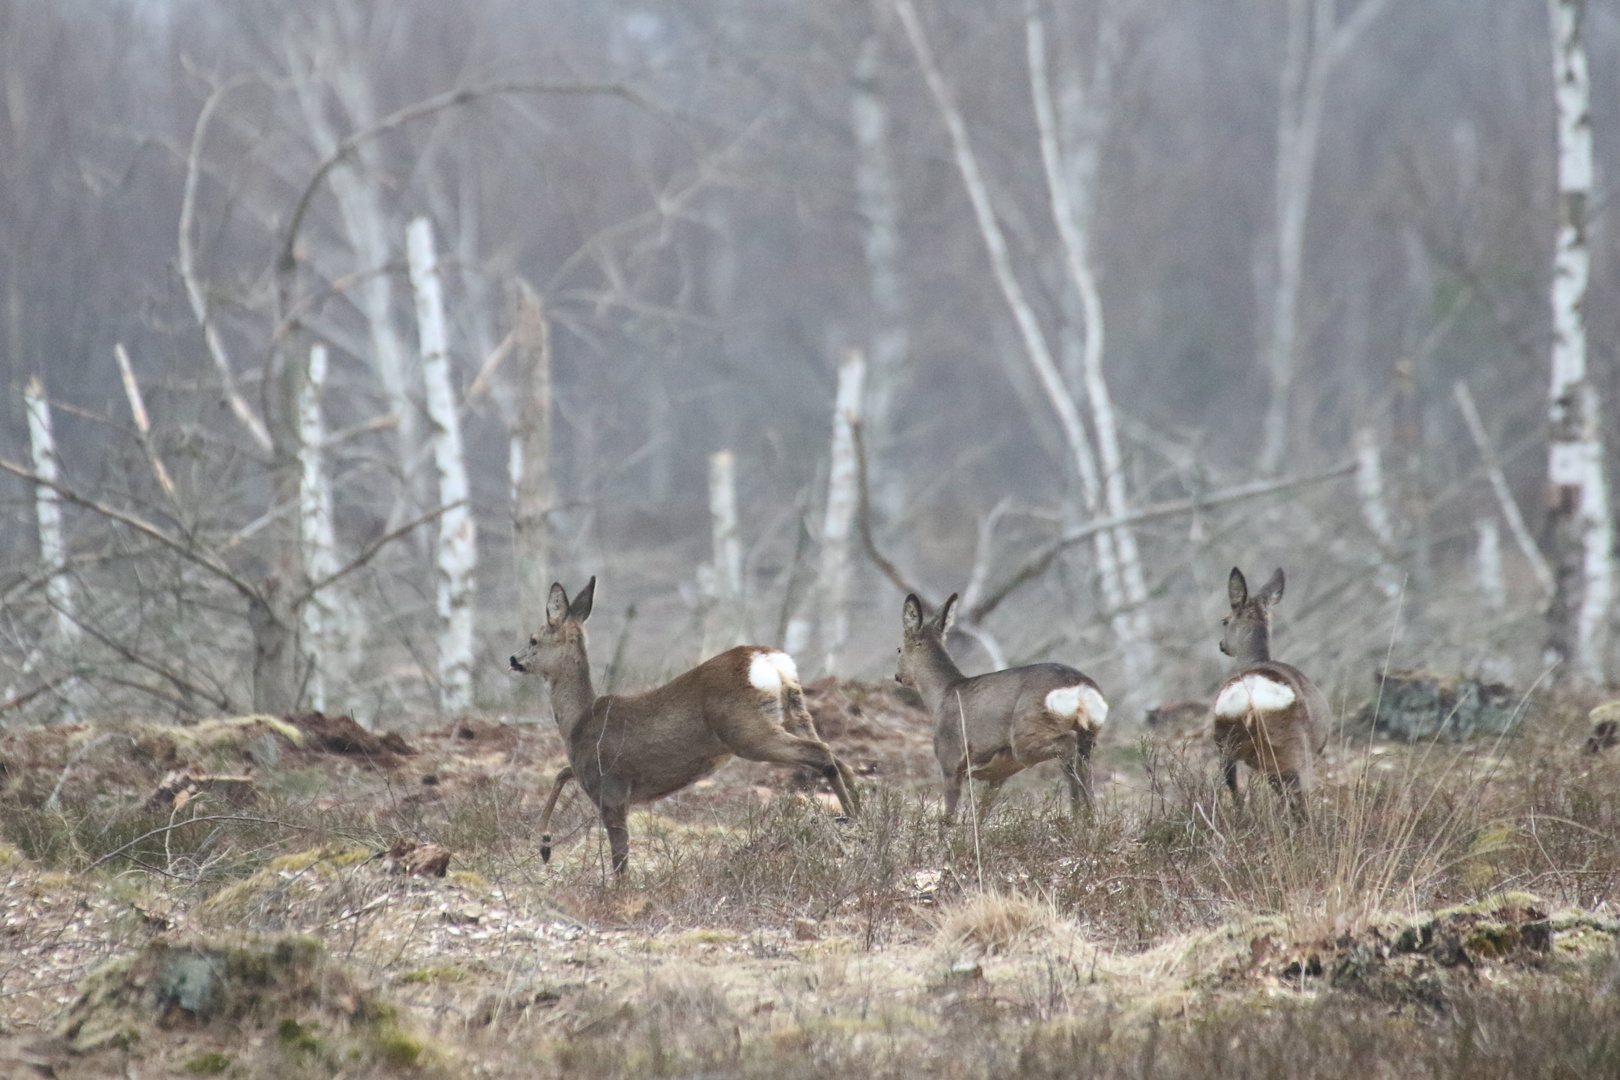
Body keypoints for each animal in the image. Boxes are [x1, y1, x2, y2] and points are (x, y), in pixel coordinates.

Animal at [508, 579, 861, 874]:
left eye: (533, 639)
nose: (513, 659)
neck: (579, 722)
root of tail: (769, 660)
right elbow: (562, 772)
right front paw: (544, 844)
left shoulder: (610, 787)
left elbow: (620, 857)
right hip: (794, 712)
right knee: (839, 757)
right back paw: (860, 818)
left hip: (747, 731)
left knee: (822, 752)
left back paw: (852, 820)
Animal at [894, 592, 1108, 819]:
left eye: (898, 649)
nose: (897, 676)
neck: (942, 695)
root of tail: (1081, 686)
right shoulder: (999, 770)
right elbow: (982, 812)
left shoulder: (949, 757)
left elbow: (950, 815)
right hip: (1089, 731)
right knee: (1083, 761)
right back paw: (1088, 817)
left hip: (1027, 733)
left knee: (1068, 747)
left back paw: (1077, 814)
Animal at [1218, 569, 1328, 816]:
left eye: (1224, 621)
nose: (1221, 645)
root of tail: (1251, 699)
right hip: (1291, 745)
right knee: (1297, 793)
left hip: (1227, 744)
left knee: (1236, 788)